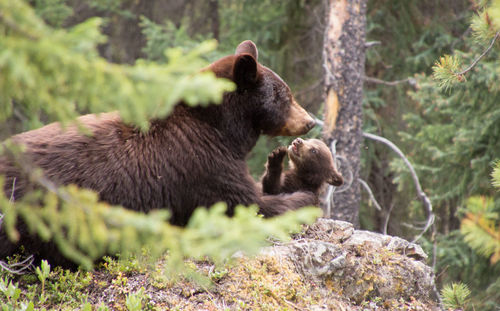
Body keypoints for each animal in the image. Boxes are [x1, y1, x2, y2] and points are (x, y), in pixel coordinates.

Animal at [0, 40, 316, 266]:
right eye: (286, 96)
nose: (311, 121)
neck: (219, 129)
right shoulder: (204, 167)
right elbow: (249, 205)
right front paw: (304, 199)